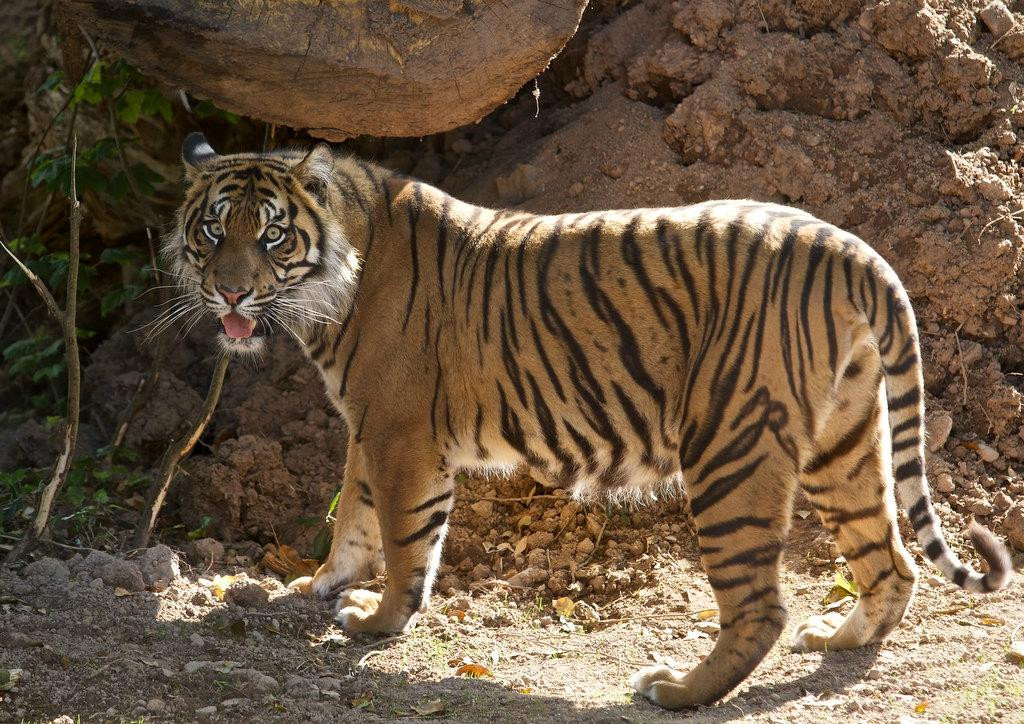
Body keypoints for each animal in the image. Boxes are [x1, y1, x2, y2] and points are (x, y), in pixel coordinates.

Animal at [163, 133, 1011, 712]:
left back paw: (677, 691)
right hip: (844, 442)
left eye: (271, 234)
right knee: (892, 563)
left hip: (729, 447)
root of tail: (848, 246)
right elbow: (355, 514)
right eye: (212, 232)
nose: (229, 293)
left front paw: (377, 622)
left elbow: (404, 538)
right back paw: (839, 640)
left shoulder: (400, 430)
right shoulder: (369, 423)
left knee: (760, 606)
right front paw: (324, 584)